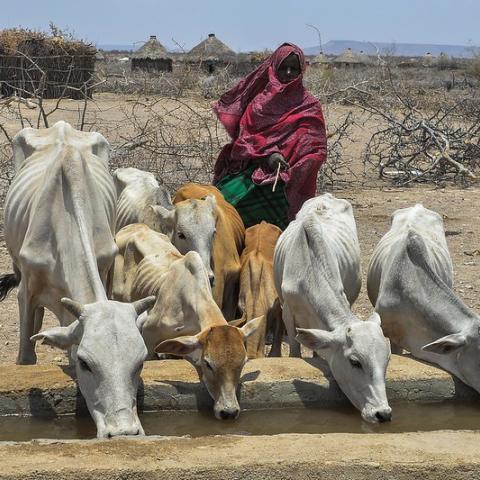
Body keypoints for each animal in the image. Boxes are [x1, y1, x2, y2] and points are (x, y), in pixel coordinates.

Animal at [0, 122, 154, 436]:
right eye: (86, 364)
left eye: (140, 362)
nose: (123, 432)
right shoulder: (26, 290)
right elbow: (26, 357)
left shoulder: (104, 268)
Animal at [276, 193, 392, 422]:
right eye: (355, 362)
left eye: (387, 360)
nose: (382, 413)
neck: (308, 271)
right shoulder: (287, 313)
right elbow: (294, 351)